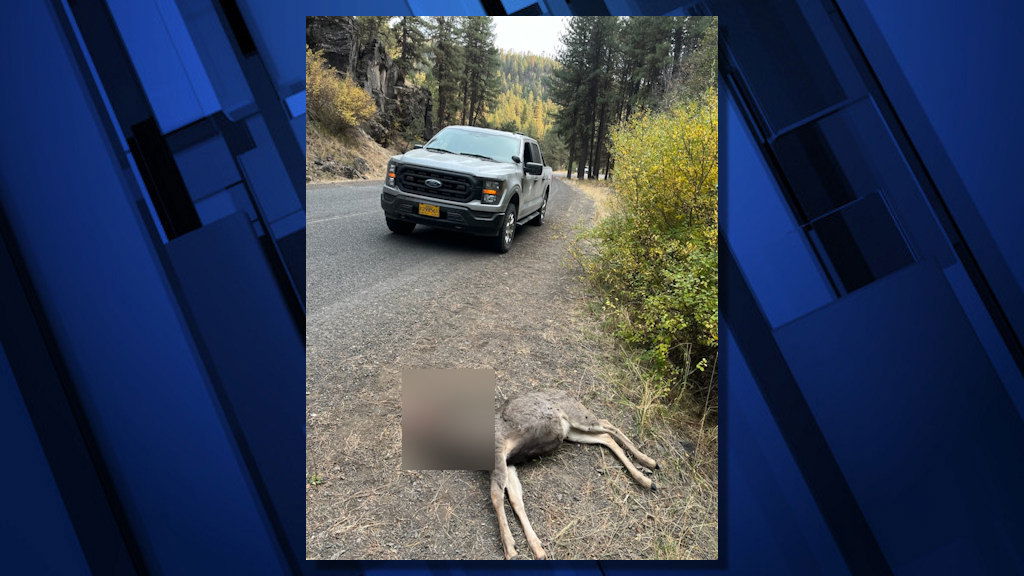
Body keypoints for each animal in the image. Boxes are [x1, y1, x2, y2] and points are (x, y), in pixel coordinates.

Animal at [491, 385, 659, 557]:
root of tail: (566, 393)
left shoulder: (499, 454)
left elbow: (496, 497)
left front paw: (509, 548)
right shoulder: (509, 463)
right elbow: (516, 500)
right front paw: (537, 547)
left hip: (579, 417)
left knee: (608, 424)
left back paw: (649, 462)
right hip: (572, 432)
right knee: (606, 437)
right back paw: (646, 478)